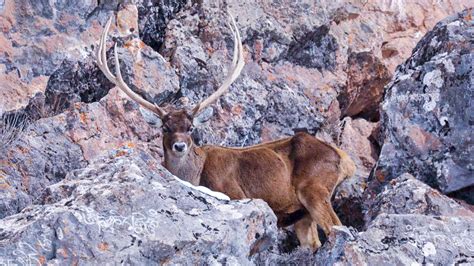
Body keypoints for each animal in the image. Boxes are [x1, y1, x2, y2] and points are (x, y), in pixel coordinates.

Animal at [95, 14, 356, 251]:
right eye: (165, 127)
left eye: (190, 127)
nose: (180, 146)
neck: (195, 174)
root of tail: (346, 160)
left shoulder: (234, 192)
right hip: (302, 213)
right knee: (314, 241)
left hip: (315, 189)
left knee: (337, 227)